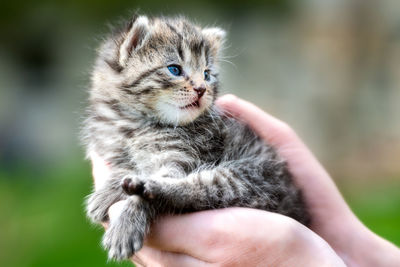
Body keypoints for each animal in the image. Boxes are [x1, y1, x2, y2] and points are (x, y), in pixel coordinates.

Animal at [83, 14, 310, 262]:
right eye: (174, 69)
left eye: (207, 74)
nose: (201, 89)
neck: (137, 123)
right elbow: (125, 166)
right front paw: (108, 190)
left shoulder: (182, 156)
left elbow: (164, 177)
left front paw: (127, 221)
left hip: (253, 176)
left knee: (198, 191)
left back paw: (145, 187)